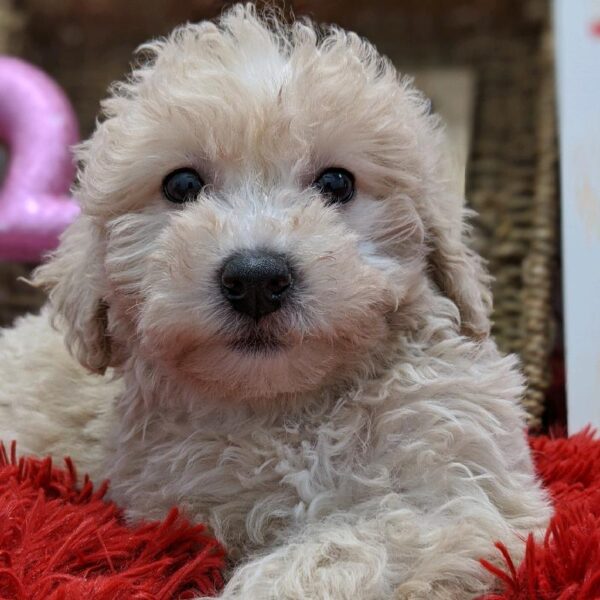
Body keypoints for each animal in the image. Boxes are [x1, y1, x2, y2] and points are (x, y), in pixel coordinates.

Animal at [0, 5, 552, 600]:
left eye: (337, 183)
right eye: (182, 185)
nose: (256, 279)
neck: (287, 409)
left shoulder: (460, 496)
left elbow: (345, 542)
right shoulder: (178, 510)